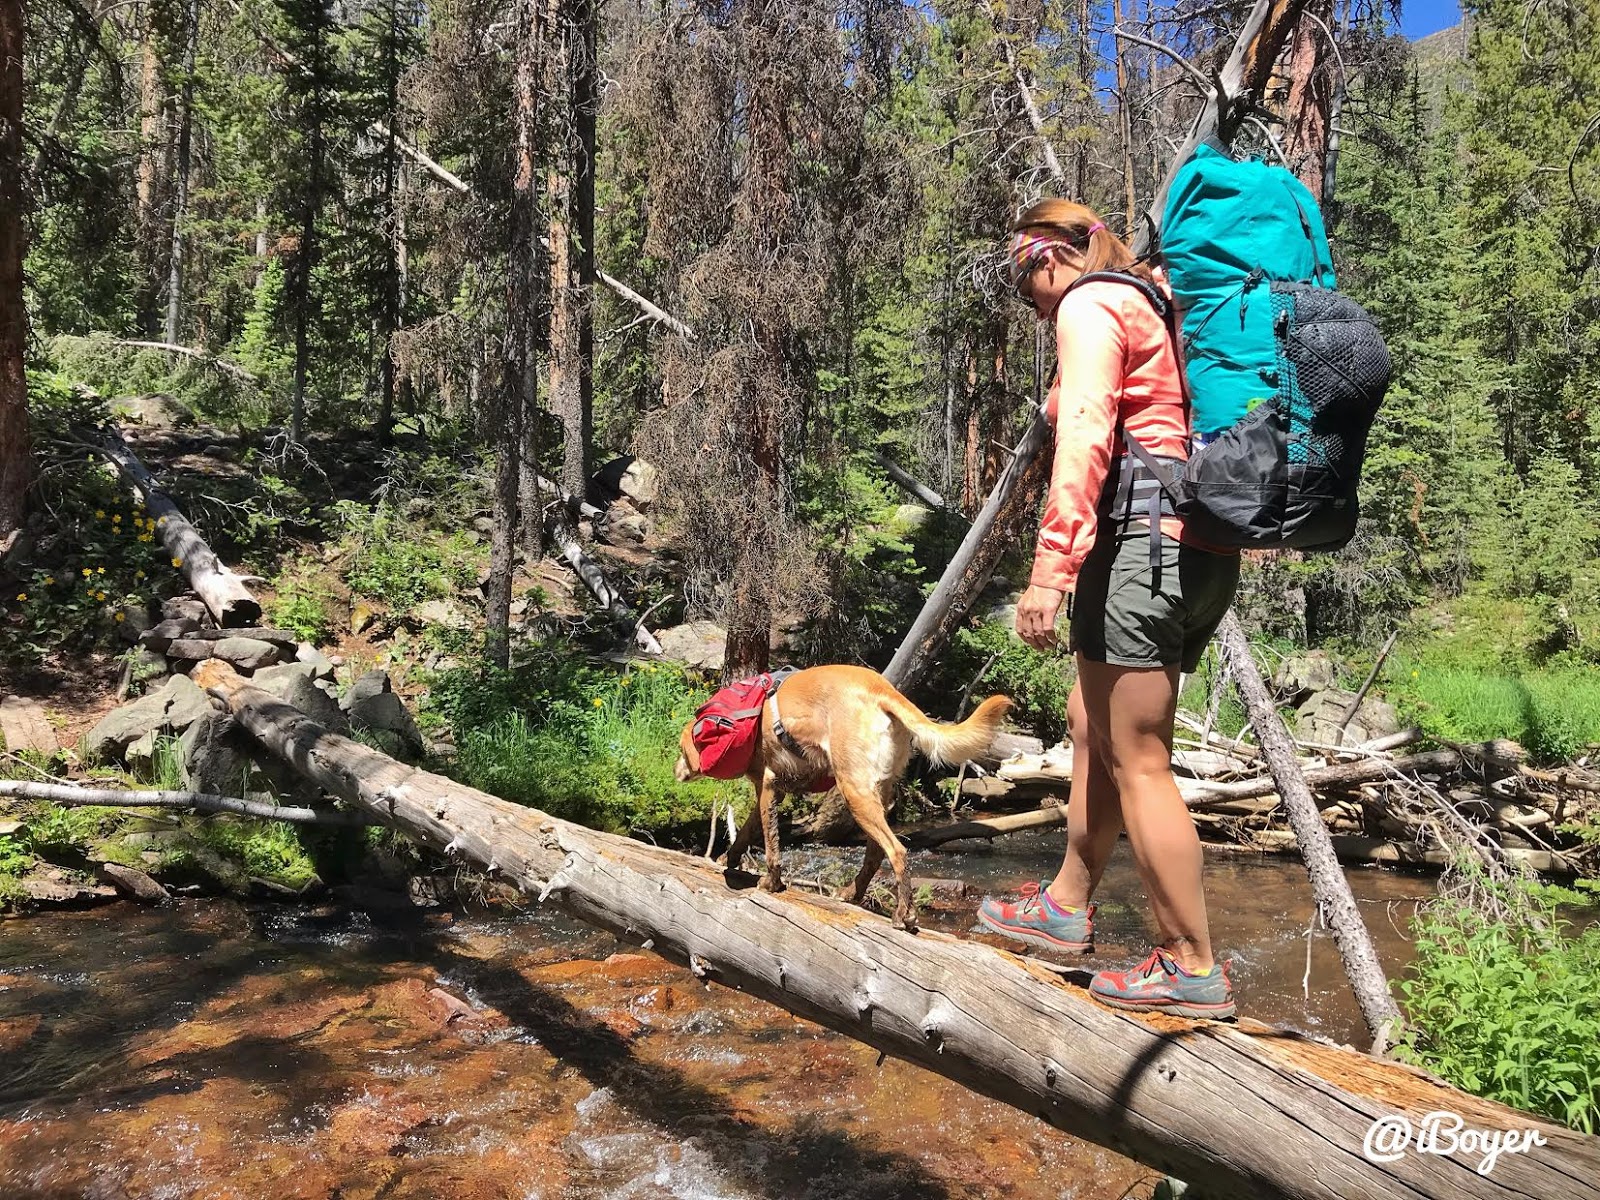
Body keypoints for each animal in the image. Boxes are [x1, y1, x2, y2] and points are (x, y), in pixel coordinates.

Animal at [675, 668, 1011, 928]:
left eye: (681, 749)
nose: (674, 771)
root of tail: (881, 689)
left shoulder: (768, 785)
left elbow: (771, 846)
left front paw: (771, 882)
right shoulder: (772, 792)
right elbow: (747, 831)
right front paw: (728, 859)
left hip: (854, 790)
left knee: (897, 850)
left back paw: (904, 913)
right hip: (877, 790)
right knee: (875, 852)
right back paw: (852, 894)